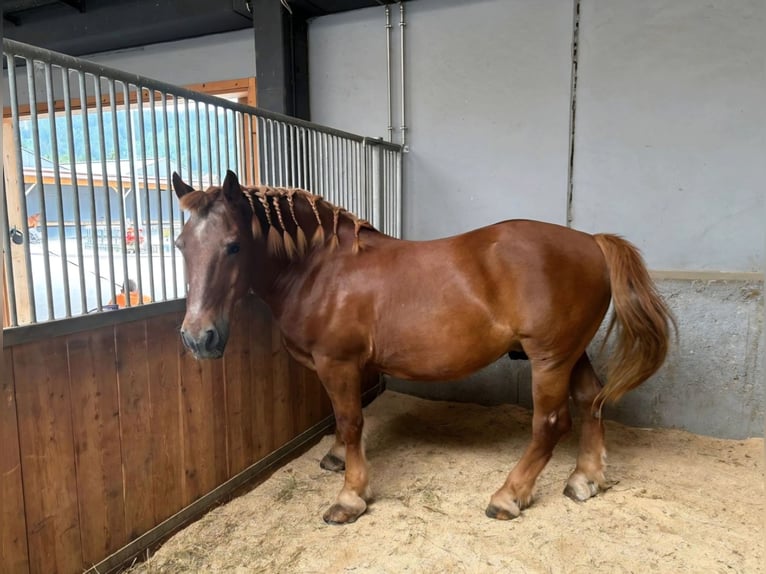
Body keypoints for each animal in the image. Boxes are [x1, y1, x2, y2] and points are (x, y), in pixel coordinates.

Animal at [172, 170, 675, 524]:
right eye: (179, 244)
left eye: (233, 246)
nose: (199, 337)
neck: (321, 269)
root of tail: (590, 241)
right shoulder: (332, 366)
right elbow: (342, 420)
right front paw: (336, 459)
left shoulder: (338, 363)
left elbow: (351, 421)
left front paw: (351, 497)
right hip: (571, 353)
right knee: (591, 402)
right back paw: (585, 479)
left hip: (549, 358)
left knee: (551, 423)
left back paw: (508, 496)